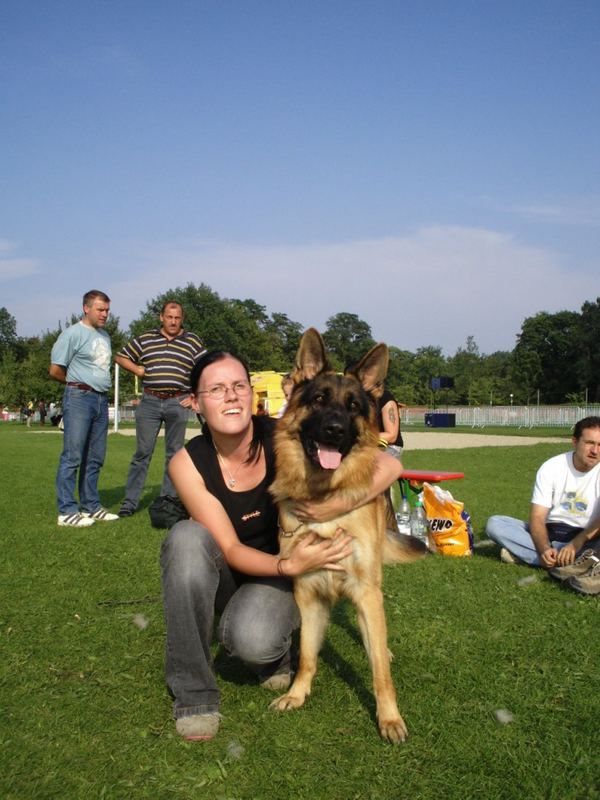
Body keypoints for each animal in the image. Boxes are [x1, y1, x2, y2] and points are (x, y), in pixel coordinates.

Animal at [268, 328, 426, 740]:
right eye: (319, 399)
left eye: (353, 406)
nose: (335, 430)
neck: (325, 495)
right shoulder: (308, 594)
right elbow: (307, 655)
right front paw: (297, 694)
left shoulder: (365, 591)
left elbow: (380, 672)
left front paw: (389, 717)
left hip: (371, 586)